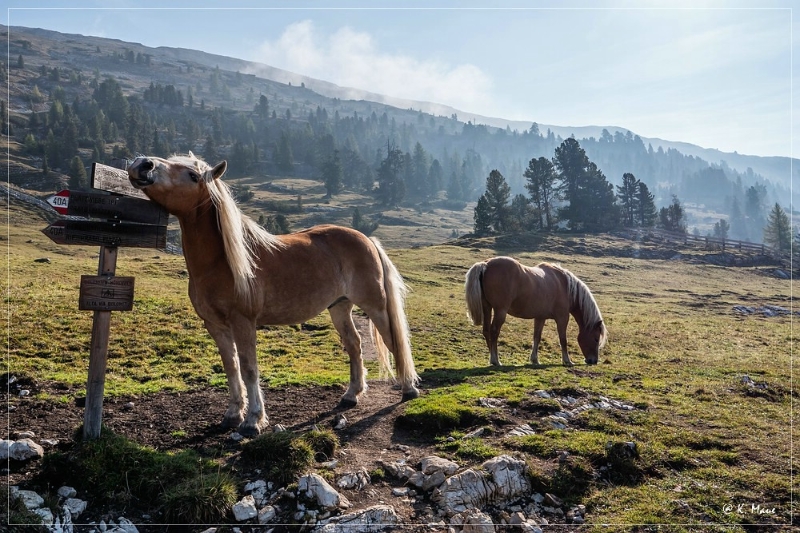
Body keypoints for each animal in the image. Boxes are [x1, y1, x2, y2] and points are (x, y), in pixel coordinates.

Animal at [126, 152, 418, 434]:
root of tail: (367, 239)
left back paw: (409, 389)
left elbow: (249, 369)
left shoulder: (243, 322)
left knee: (392, 340)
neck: (223, 261)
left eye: (192, 175)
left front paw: (253, 420)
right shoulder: (215, 325)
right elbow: (231, 367)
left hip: (374, 306)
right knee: (355, 345)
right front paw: (233, 414)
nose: (143, 164)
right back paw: (351, 395)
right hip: (339, 307)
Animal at [462, 256, 608, 366]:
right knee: (494, 331)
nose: (593, 361)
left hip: (487, 308)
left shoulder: (540, 317)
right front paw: (567, 361)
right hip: (500, 311)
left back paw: (492, 358)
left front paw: (534, 359)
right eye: (596, 339)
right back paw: (496, 360)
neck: (565, 286)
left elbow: (536, 337)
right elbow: (563, 339)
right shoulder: (562, 318)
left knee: (486, 331)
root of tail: (485, 265)